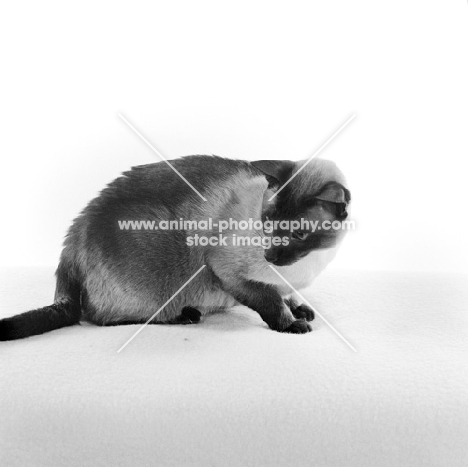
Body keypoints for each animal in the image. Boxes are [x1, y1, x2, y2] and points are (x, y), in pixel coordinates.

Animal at [0, 155, 352, 342]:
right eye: (266, 224)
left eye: (298, 233)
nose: (270, 256)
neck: (307, 265)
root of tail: (70, 243)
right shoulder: (227, 272)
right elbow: (270, 302)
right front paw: (291, 323)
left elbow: (285, 295)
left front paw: (299, 308)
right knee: (102, 317)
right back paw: (184, 316)